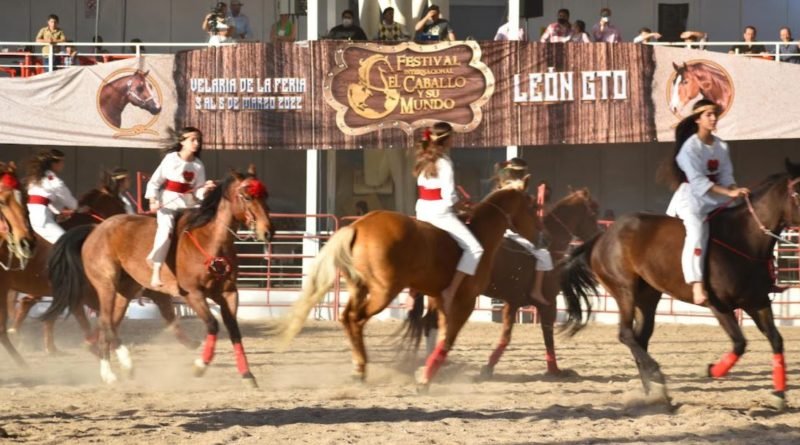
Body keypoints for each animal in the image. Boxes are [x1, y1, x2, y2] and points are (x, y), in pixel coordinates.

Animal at [42, 167, 274, 386]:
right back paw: (113, 371)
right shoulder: (193, 294)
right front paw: (200, 365)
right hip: (106, 285)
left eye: (265, 195)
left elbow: (234, 330)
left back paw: (118, 367)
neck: (209, 241)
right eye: (247, 197)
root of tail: (94, 229)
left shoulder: (229, 293)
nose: (268, 231)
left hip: (125, 291)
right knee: (105, 322)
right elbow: (212, 325)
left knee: (109, 325)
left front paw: (247, 374)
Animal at [280, 180, 544, 388]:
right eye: (533, 206)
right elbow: (448, 339)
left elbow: (439, 334)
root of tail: (358, 225)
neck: (481, 233)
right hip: (383, 293)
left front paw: (428, 371)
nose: (539, 237)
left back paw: (359, 370)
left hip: (359, 288)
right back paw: (361, 367)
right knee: (356, 319)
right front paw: (425, 378)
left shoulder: (440, 299)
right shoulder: (465, 301)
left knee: (347, 319)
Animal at [560, 159, 800, 410]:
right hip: (624, 290)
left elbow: (776, 340)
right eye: (798, 192)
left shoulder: (757, 302)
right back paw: (657, 377)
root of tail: (601, 237)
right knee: (626, 334)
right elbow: (739, 343)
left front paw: (778, 395)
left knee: (639, 338)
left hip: (648, 296)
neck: (742, 240)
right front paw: (710, 370)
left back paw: (655, 391)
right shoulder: (719, 305)